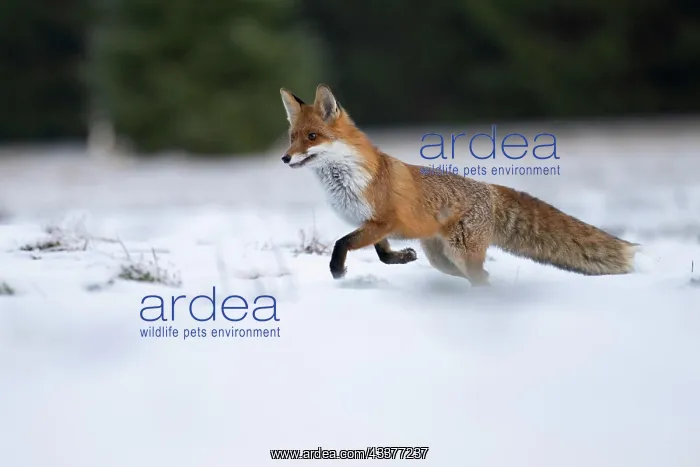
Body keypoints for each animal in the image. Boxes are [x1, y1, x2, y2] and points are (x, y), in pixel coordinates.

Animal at [279, 84, 639, 285]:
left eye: (312, 137)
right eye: (292, 137)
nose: (284, 158)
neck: (347, 178)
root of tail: (489, 188)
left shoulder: (382, 221)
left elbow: (342, 243)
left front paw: (337, 271)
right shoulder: (373, 226)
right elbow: (382, 255)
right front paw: (402, 257)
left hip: (460, 255)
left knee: (482, 279)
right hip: (444, 260)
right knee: (482, 277)